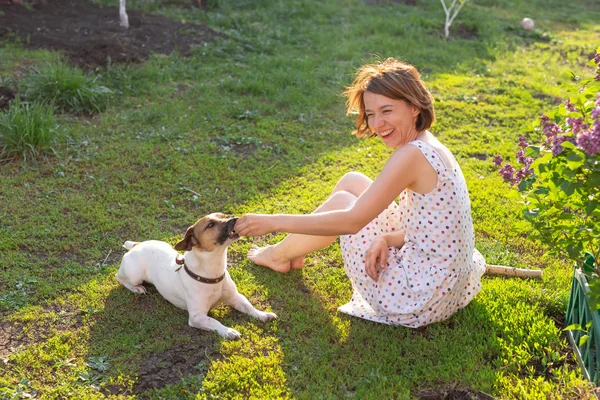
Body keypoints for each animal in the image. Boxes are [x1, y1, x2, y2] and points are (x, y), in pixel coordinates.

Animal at [115, 211, 276, 340]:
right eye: (210, 224)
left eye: (224, 216)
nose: (235, 218)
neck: (212, 272)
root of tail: (136, 245)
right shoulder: (197, 316)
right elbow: (214, 321)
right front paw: (227, 331)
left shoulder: (236, 297)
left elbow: (249, 307)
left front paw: (263, 314)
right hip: (134, 274)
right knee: (120, 277)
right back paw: (137, 289)